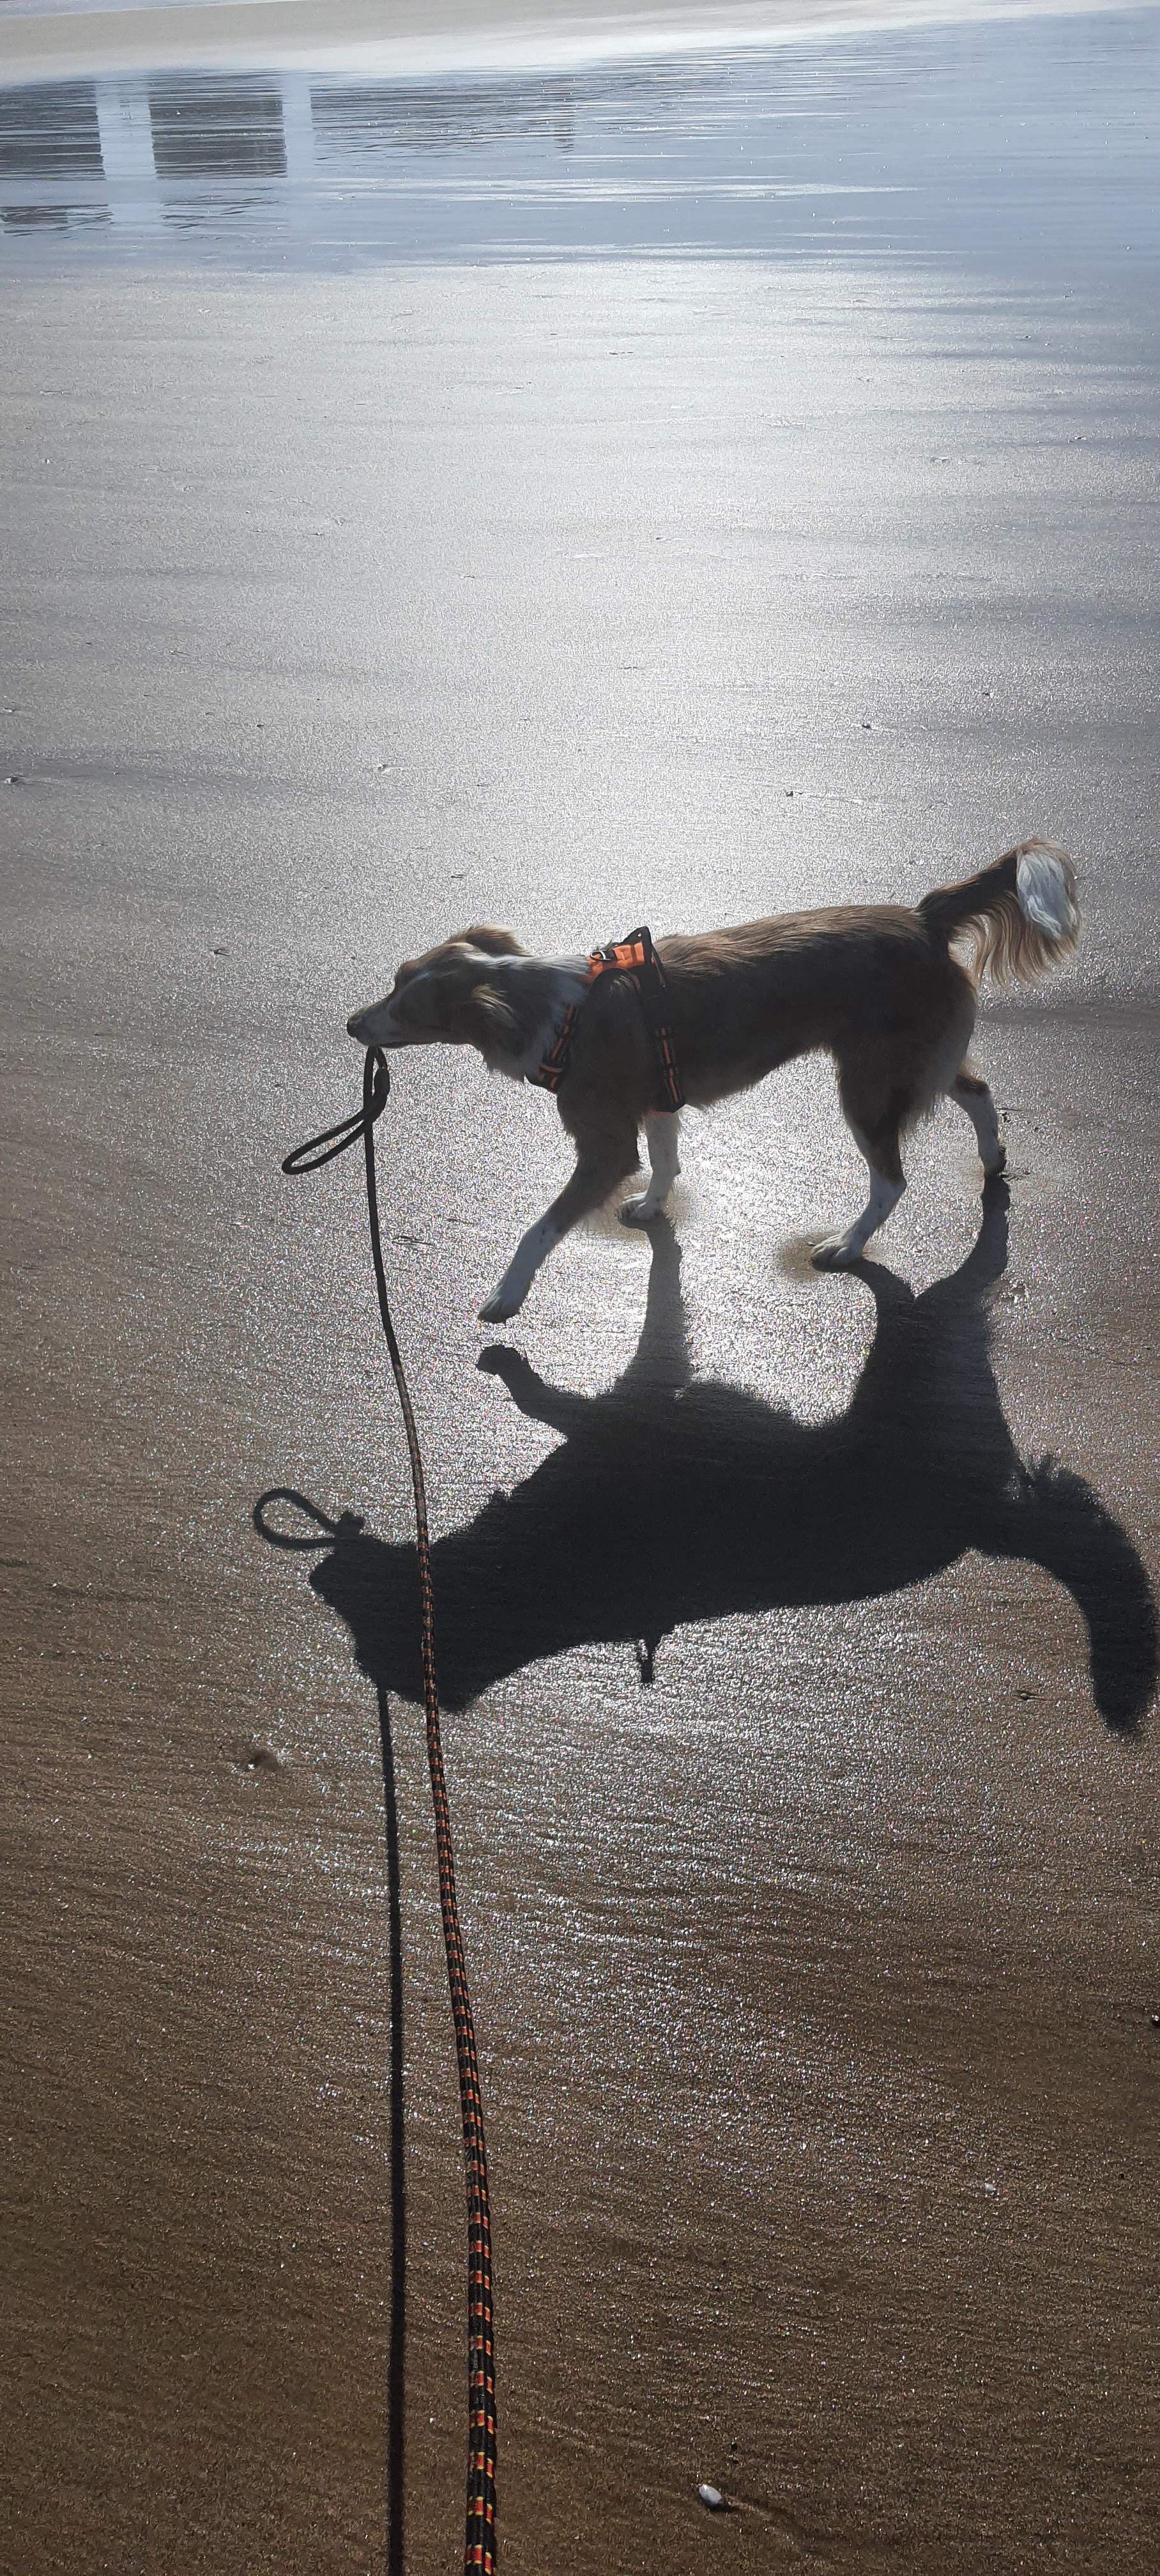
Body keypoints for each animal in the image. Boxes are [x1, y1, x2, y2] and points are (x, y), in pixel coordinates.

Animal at [346, 839, 1078, 1323]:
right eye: (394, 980)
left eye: (408, 1010)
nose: (352, 1024)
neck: (557, 1012)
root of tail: (924, 918)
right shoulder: (656, 1102)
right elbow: (666, 1162)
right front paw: (652, 1207)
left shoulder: (605, 1147)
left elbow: (541, 1228)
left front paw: (508, 1291)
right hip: (914, 1061)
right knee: (979, 1094)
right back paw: (992, 1161)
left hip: (869, 1083)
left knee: (891, 1180)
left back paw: (847, 1245)